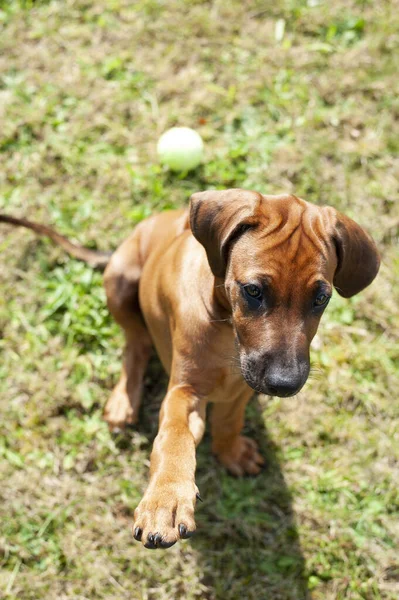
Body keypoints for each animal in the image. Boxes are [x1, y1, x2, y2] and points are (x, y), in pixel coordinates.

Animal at [0, 190, 382, 552]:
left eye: (321, 298)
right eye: (253, 291)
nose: (284, 384)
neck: (226, 329)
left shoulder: (243, 385)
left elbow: (229, 421)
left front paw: (231, 453)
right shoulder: (185, 391)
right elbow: (175, 438)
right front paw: (165, 500)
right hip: (122, 281)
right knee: (136, 343)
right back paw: (124, 400)